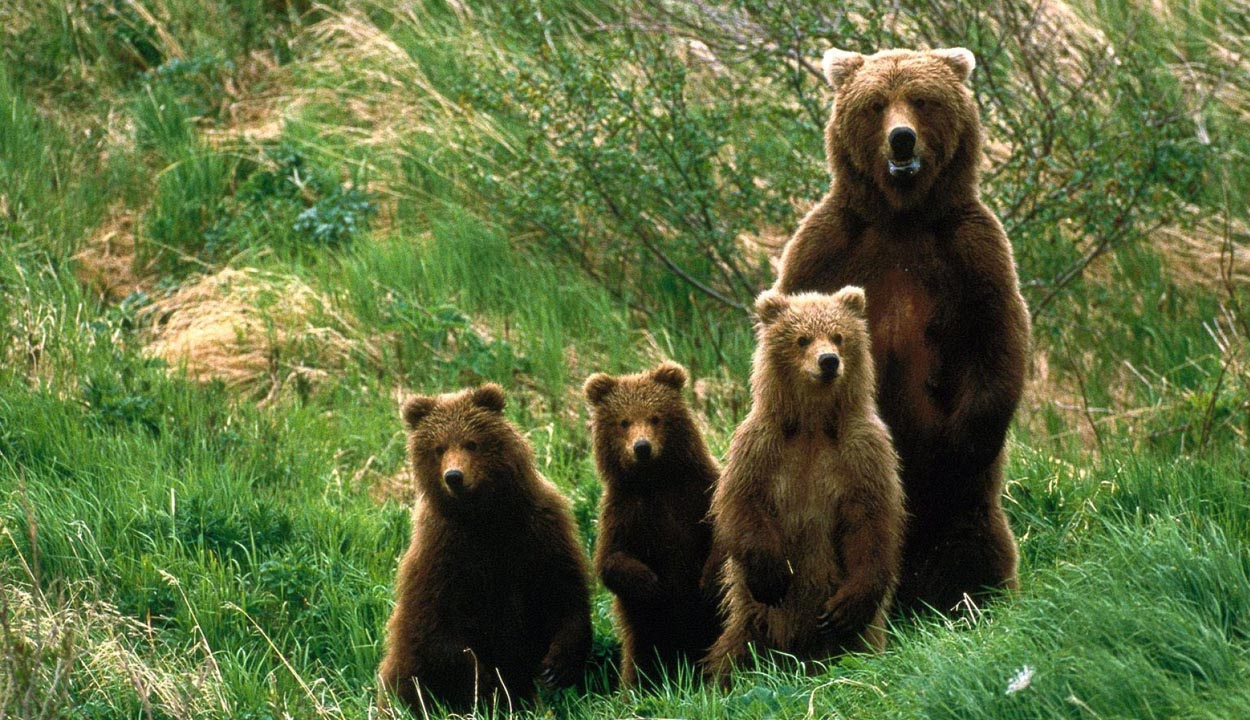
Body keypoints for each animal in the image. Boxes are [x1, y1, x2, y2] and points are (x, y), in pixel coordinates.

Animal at [377, 385, 592, 710]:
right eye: (439, 448)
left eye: (471, 443)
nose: (454, 476)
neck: (484, 516)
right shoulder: (443, 551)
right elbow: (436, 622)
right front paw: (486, 683)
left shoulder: (539, 531)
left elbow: (564, 589)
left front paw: (557, 665)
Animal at [582, 362, 725, 690]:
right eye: (623, 422)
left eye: (655, 416)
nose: (642, 447)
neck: (655, 480)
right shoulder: (624, 511)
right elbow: (610, 560)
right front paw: (650, 583)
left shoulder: (697, 493)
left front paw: (707, 580)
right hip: (645, 632)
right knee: (641, 660)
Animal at [710, 285, 905, 675]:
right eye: (801, 339)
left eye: (839, 336)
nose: (828, 361)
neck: (813, 424)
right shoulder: (762, 446)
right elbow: (742, 503)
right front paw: (773, 575)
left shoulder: (863, 451)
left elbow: (871, 520)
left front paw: (846, 607)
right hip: (753, 619)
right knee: (735, 651)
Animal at [775, 47, 1030, 615]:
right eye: (875, 103)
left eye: (921, 98)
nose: (902, 139)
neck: (902, 216)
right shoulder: (826, 247)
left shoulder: (971, 251)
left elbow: (996, 335)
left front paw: (963, 442)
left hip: (963, 510)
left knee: (974, 542)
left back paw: (969, 598)